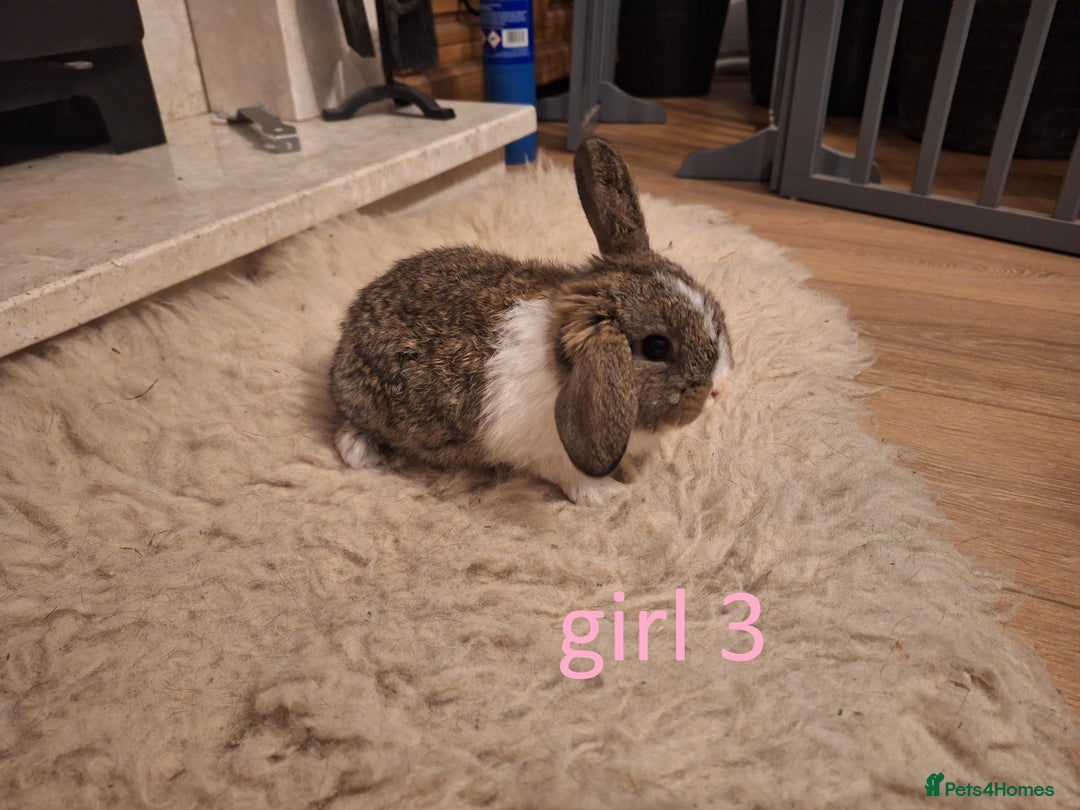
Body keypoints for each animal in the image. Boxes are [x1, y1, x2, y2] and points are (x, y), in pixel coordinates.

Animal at [329, 136, 733, 505]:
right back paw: (359, 451)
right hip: (362, 398)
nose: (719, 389)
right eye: (656, 347)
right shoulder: (543, 452)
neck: (565, 362)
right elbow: (571, 476)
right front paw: (607, 494)